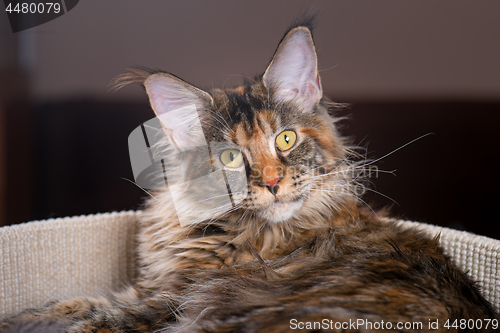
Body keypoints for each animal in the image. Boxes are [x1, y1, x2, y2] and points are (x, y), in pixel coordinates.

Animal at [1, 16, 498, 332]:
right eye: (229, 158)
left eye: (286, 139)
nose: (273, 182)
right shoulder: (150, 292)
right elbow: (69, 304)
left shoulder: (166, 303)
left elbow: (89, 317)